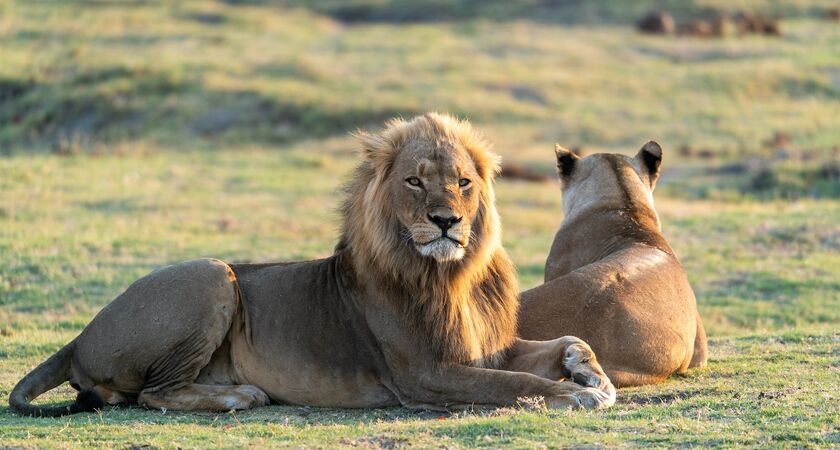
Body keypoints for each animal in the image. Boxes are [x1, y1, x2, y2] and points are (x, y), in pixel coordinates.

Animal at [9, 111, 612, 414]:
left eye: (463, 182)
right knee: (153, 394)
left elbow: (568, 341)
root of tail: (80, 335)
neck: (451, 275)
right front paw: (572, 394)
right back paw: (239, 395)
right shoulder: (425, 375)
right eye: (415, 181)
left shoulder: (488, 348)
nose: (446, 221)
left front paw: (592, 375)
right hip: (212, 275)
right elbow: (513, 385)